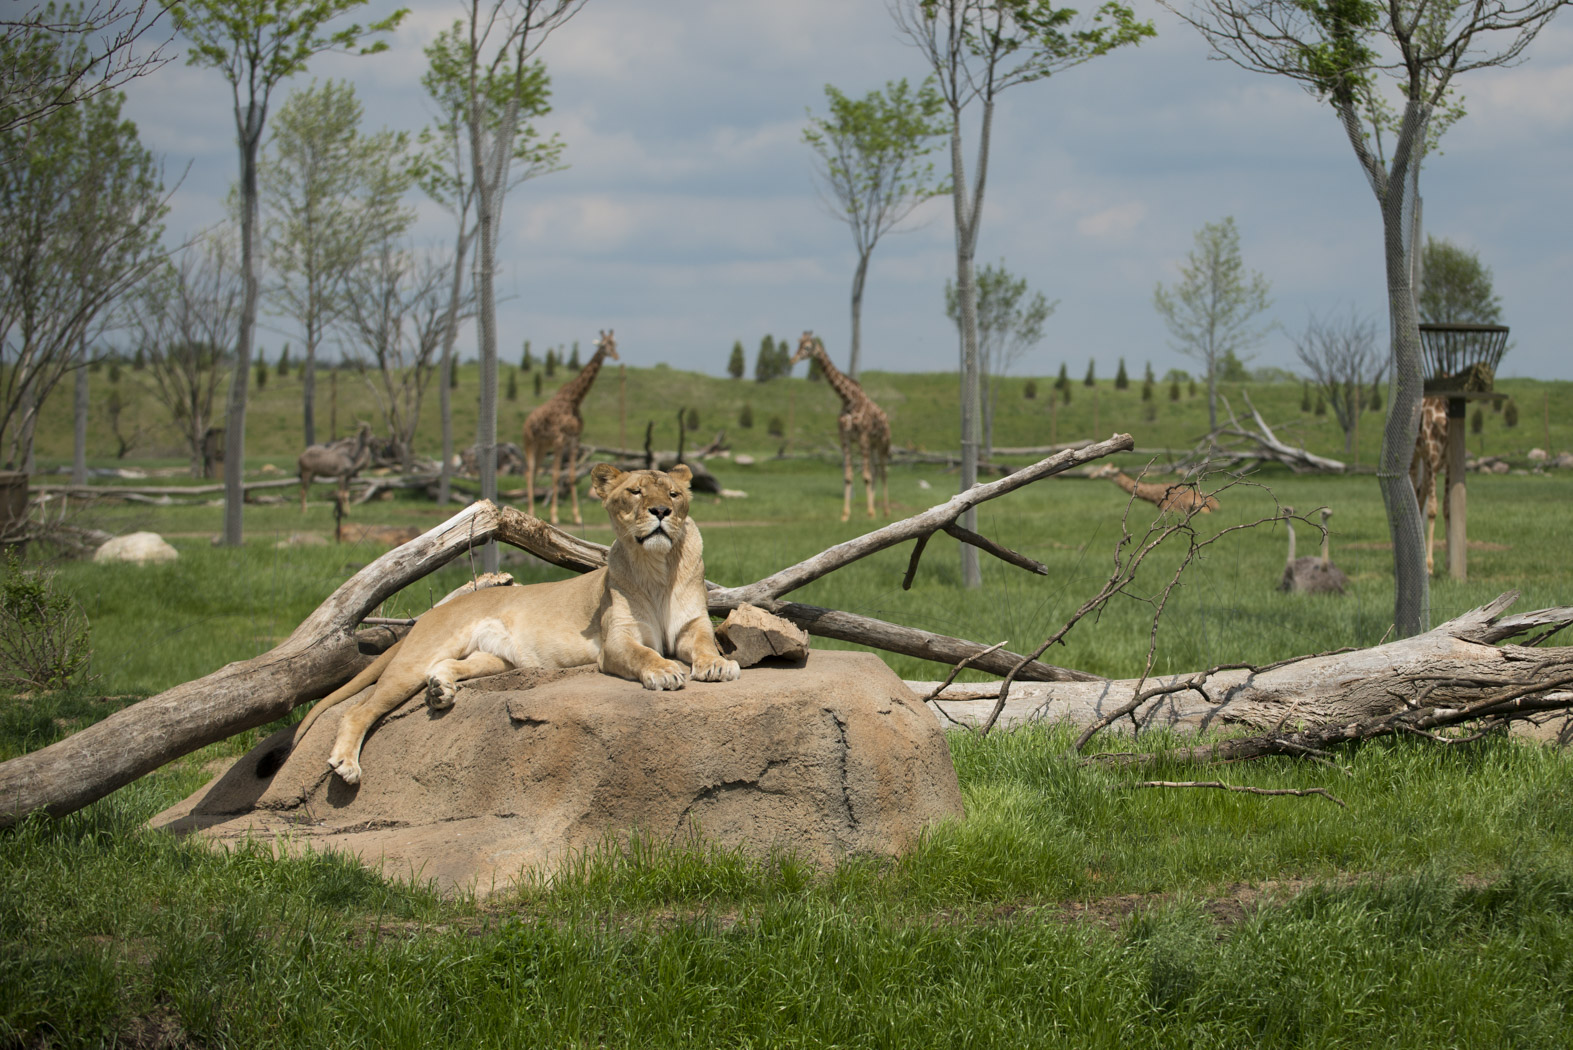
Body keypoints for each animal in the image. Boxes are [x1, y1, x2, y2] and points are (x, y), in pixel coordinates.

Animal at [522, 330, 619, 521]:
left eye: (614, 343)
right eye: (605, 345)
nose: (615, 356)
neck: (574, 400)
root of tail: (526, 423)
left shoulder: (574, 440)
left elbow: (572, 476)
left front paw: (577, 516)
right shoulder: (559, 440)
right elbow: (555, 475)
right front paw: (554, 516)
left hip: (542, 447)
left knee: (534, 471)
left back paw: (532, 510)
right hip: (530, 443)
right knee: (529, 472)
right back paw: (531, 510)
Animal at [792, 331, 893, 521]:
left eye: (807, 347)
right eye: (798, 345)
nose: (792, 359)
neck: (847, 399)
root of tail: (886, 418)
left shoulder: (862, 436)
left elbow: (866, 476)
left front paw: (870, 513)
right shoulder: (845, 438)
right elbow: (848, 476)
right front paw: (846, 514)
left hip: (883, 443)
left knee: (883, 472)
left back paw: (885, 510)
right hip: (872, 445)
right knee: (875, 471)